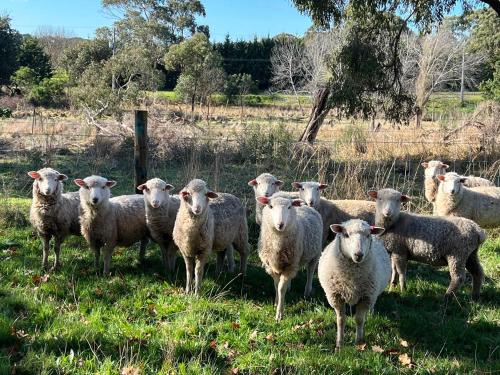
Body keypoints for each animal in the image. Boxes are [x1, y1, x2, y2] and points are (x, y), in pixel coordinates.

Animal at [256, 192, 322, 322]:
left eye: (289, 207)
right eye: (270, 206)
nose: (280, 224)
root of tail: (304, 205)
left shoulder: (290, 266)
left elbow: (281, 288)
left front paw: (279, 314)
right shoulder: (272, 265)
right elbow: (276, 285)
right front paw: (276, 302)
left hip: (315, 253)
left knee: (310, 271)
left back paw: (307, 291)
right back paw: (290, 287)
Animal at [318, 219, 388, 352]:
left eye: (368, 235)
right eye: (346, 235)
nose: (358, 254)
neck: (352, 278)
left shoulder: (366, 297)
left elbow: (359, 320)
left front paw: (359, 343)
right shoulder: (336, 297)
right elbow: (341, 320)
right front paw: (339, 345)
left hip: (373, 293)